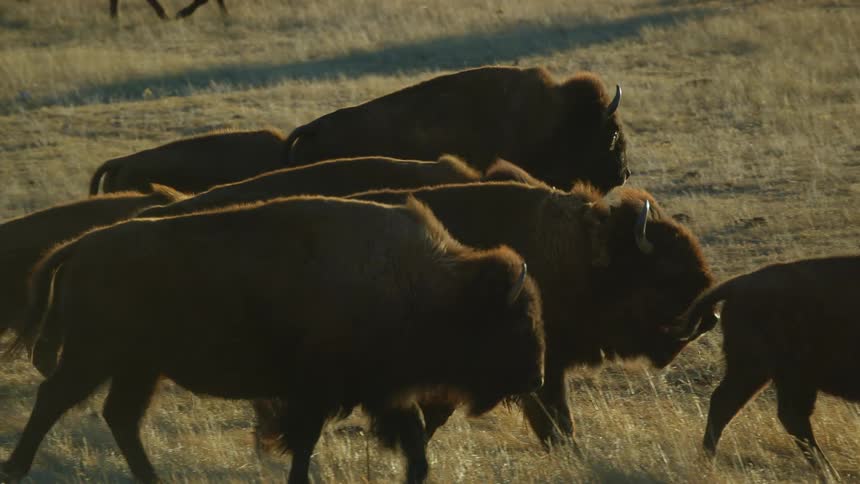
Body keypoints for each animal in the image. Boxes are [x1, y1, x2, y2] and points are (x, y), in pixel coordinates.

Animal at [2, 196, 545, 484]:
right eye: (519, 322)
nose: (536, 377)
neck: (421, 281)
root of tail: (81, 246)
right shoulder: (316, 391)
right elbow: (304, 440)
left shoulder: (381, 393)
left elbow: (411, 442)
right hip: (94, 357)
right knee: (54, 400)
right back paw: (16, 467)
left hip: (138, 367)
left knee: (120, 416)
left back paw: (151, 478)